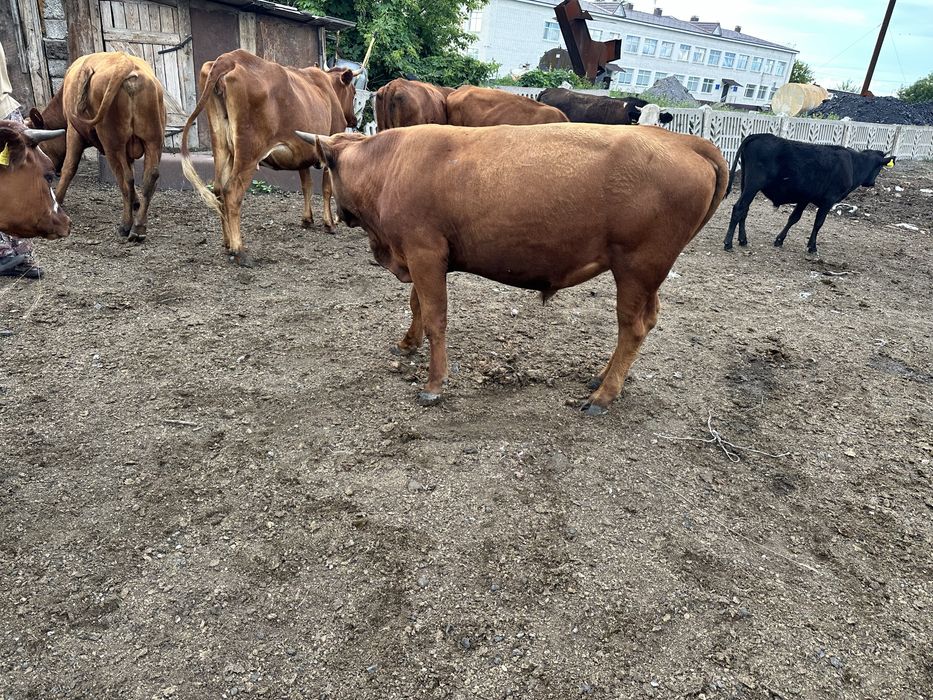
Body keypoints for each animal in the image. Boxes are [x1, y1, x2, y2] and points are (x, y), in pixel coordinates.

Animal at [28, 52, 165, 243]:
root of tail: (125, 63)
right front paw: (136, 202)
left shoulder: (73, 131)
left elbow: (70, 167)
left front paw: (58, 200)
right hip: (153, 140)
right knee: (149, 177)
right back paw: (138, 228)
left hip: (112, 143)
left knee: (125, 179)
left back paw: (126, 225)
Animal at [181, 50, 358, 266]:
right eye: (354, 93)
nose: (354, 120)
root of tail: (230, 58)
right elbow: (326, 189)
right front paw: (329, 224)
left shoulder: (301, 153)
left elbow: (306, 185)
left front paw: (307, 219)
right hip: (248, 152)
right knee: (232, 191)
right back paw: (239, 250)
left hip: (222, 146)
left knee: (218, 188)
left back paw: (227, 242)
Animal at [296, 123, 727, 415]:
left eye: (326, 170)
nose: (341, 214)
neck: (391, 165)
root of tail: (685, 141)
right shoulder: (419, 255)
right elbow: (416, 305)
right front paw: (406, 343)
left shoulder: (424, 252)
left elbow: (435, 317)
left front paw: (434, 383)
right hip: (648, 275)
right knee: (646, 322)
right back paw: (602, 377)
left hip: (637, 267)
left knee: (632, 327)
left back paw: (603, 395)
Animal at [723, 133, 895, 255]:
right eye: (880, 168)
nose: (871, 183)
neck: (853, 164)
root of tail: (759, 135)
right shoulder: (829, 200)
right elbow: (818, 223)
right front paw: (812, 247)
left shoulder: (804, 198)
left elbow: (794, 218)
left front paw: (779, 240)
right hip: (753, 184)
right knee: (739, 208)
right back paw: (728, 243)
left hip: (746, 183)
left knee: (745, 210)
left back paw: (743, 240)